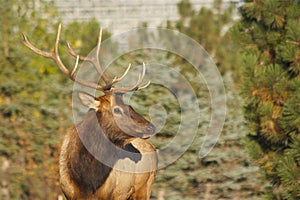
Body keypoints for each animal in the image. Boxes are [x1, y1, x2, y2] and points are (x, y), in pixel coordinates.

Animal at [22, 24, 158, 199]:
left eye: (130, 107)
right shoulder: (68, 193)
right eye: (117, 109)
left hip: (145, 187)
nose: (151, 127)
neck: (87, 180)